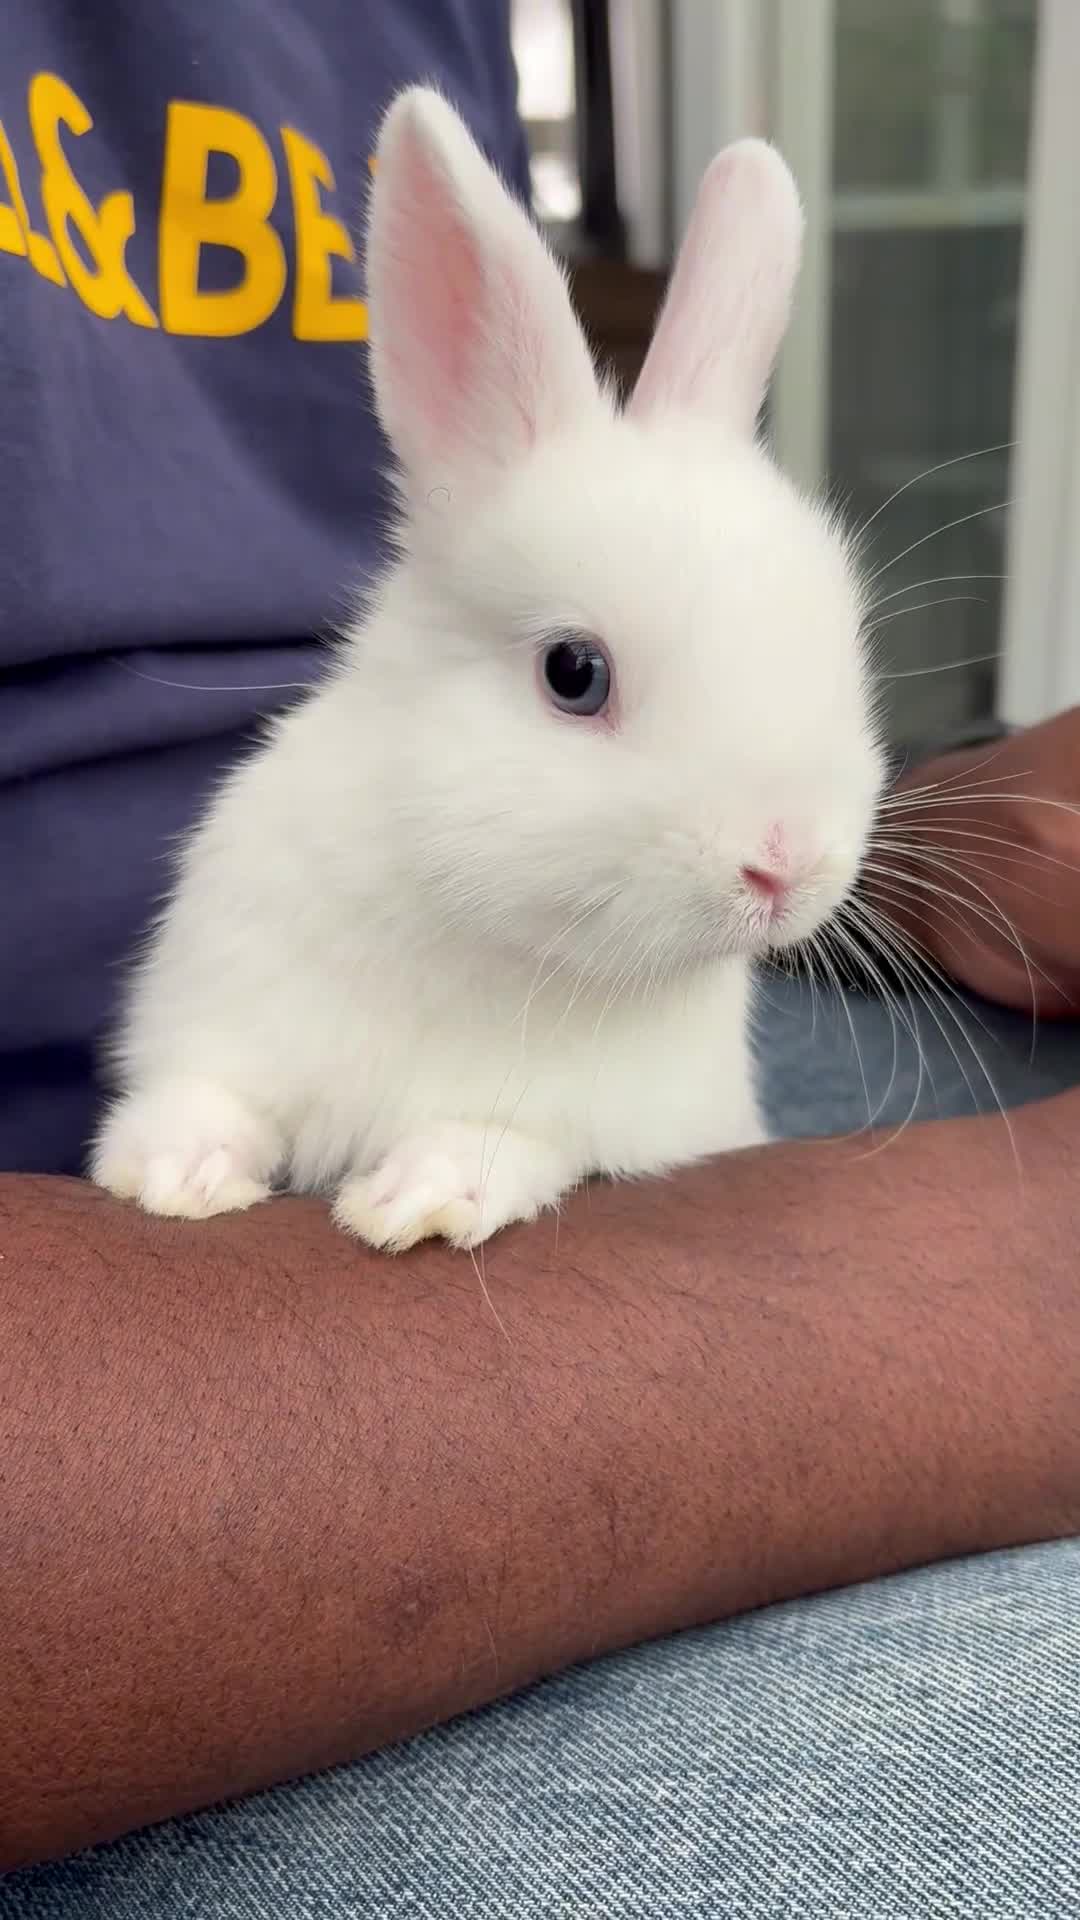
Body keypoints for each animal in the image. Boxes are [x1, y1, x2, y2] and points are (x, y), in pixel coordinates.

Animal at [90, 86, 885, 1253]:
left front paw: (414, 1197)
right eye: (574, 673)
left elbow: (504, 1141)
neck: (479, 925)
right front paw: (170, 1175)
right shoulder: (224, 1006)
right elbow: (208, 1094)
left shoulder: (594, 1120)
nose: (786, 866)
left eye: (843, 645)